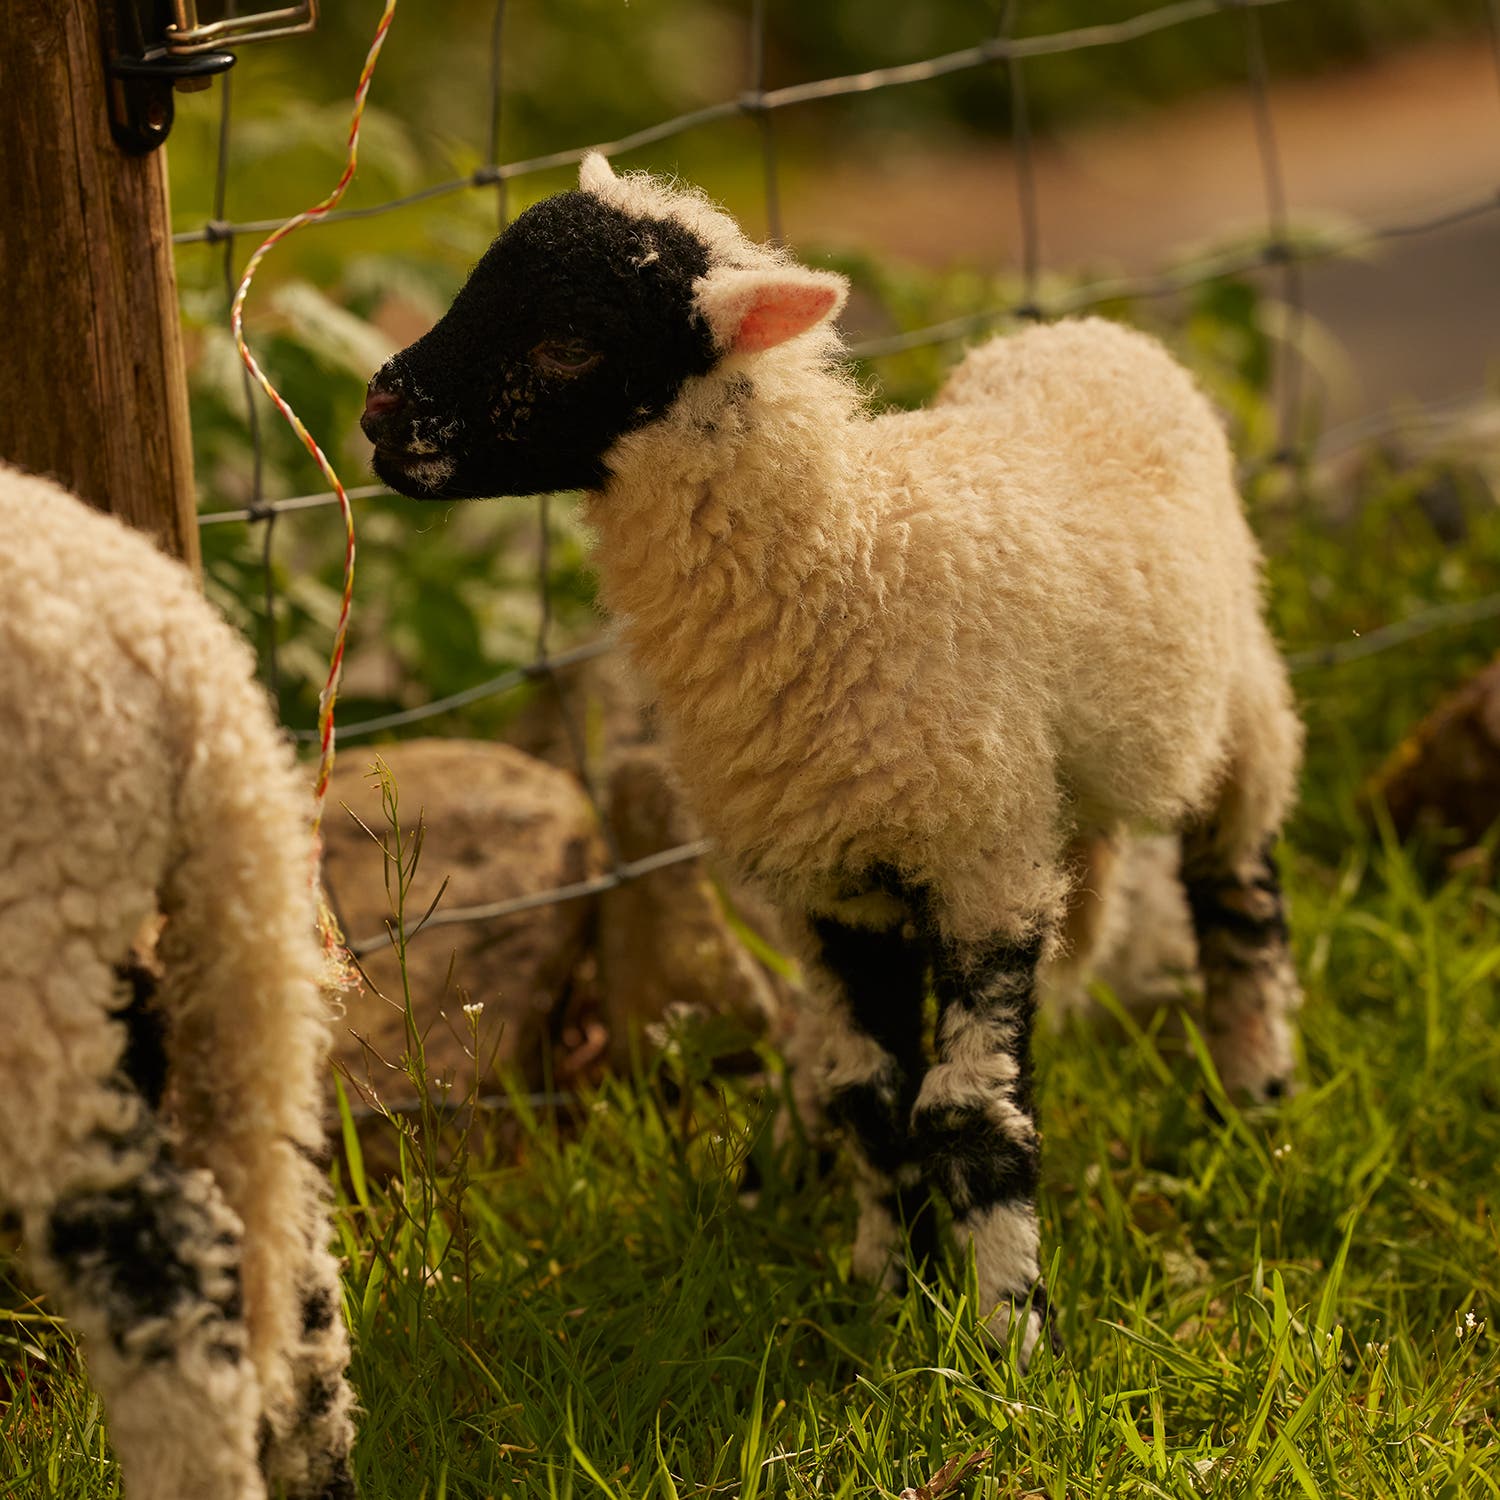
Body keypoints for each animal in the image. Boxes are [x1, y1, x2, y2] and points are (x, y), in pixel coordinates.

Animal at [361, 154, 1304, 1364]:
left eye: (571, 341)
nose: (380, 412)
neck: (849, 557)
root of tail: (1088, 330)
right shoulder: (836, 879)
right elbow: (871, 1097)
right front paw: (883, 1292)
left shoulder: (982, 860)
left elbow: (967, 1111)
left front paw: (1008, 1341)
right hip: (1063, 795)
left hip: (1242, 713)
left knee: (1239, 898)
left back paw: (1256, 1094)